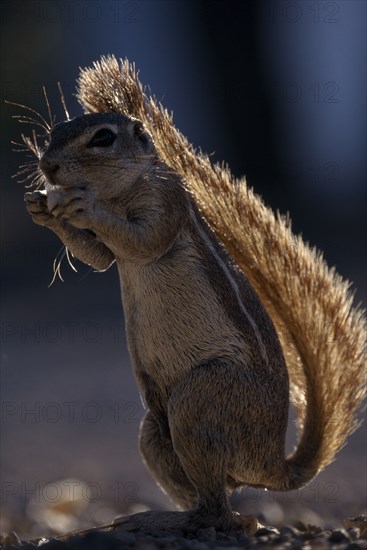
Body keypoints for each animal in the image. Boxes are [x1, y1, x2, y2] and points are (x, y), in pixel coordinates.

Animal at [16, 56, 366, 536]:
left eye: (102, 138)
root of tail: (272, 465)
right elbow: (101, 258)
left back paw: (180, 520)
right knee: (217, 494)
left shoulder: (165, 204)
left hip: (200, 400)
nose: (47, 166)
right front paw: (42, 209)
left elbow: (142, 241)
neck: (121, 191)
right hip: (155, 430)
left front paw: (83, 207)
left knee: (222, 509)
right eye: (54, 132)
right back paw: (159, 515)